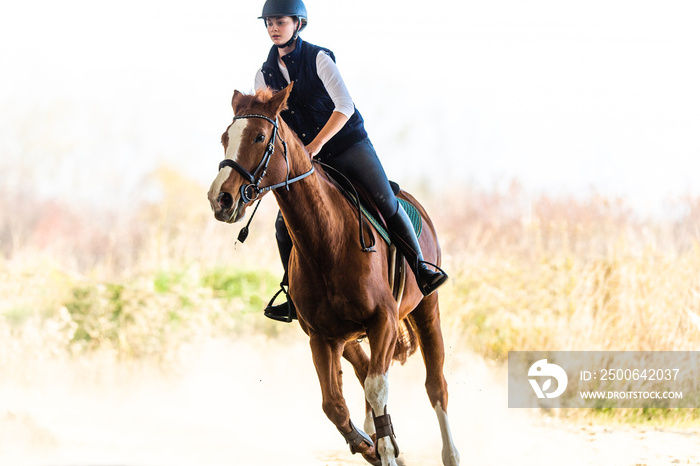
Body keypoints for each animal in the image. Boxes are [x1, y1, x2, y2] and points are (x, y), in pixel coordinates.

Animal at [206, 83, 460, 466]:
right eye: (225, 138)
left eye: (260, 136)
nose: (220, 199)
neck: (328, 242)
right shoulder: (321, 336)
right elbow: (335, 405)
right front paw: (372, 447)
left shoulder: (383, 320)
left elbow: (377, 387)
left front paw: (385, 448)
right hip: (349, 338)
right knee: (364, 372)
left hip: (426, 309)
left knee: (435, 386)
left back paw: (450, 453)